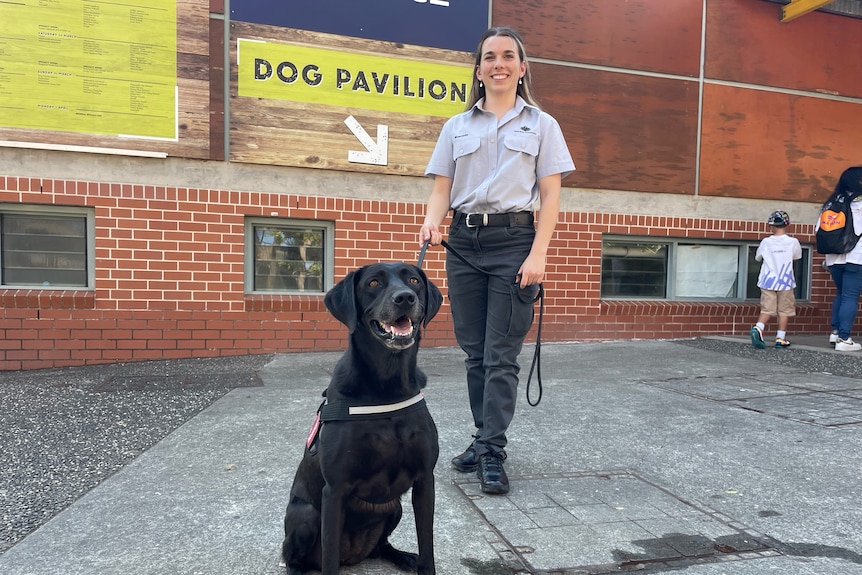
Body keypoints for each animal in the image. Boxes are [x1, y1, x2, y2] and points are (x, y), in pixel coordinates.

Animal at [284, 264, 446, 575]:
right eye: (373, 283)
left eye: (414, 280)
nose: (405, 298)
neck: (387, 385)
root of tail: (353, 557)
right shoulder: (334, 490)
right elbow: (329, 560)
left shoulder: (424, 481)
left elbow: (428, 546)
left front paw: (421, 561)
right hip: (305, 514)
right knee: (291, 557)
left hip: (395, 507)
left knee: (381, 546)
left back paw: (403, 557)